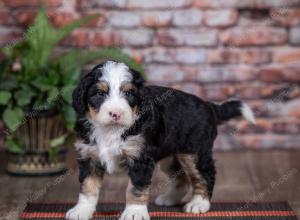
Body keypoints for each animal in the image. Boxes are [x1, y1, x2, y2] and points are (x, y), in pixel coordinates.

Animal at [65, 60, 255, 220]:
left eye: (128, 93)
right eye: (99, 93)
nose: (116, 113)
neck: (111, 130)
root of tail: (209, 106)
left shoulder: (140, 159)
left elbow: (136, 188)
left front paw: (134, 213)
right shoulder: (89, 156)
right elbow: (88, 187)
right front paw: (81, 210)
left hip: (194, 152)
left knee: (204, 174)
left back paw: (199, 203)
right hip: (169, 156)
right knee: (181, 178)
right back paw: (170, 198)